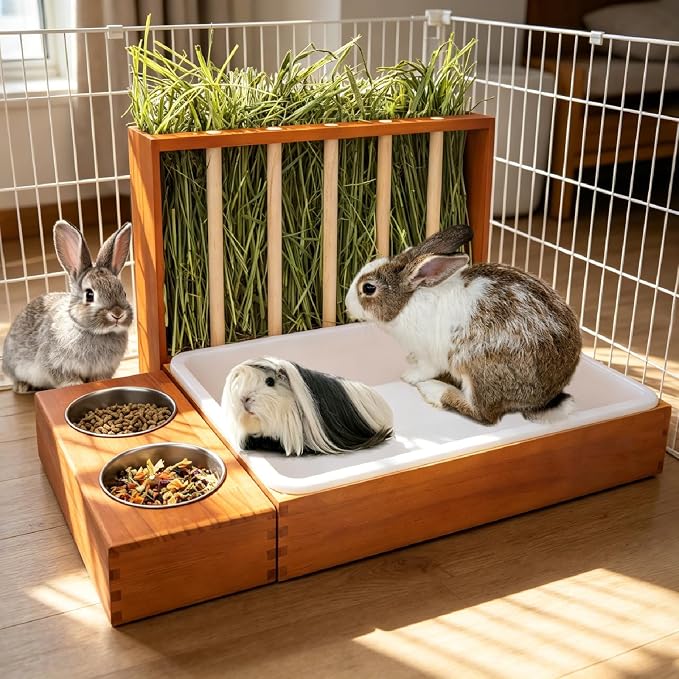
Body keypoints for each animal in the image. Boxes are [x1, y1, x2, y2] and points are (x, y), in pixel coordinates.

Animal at [2, 220, 134, 393]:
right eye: (89, 295)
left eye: (123, 293)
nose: (117, 313)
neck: (93, 331)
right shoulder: (57, 364)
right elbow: (66, 379)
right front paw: (74, 386)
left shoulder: (104, 369)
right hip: (14, 364)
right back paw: (22, 387)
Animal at [345, 225, 582, 425]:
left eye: (368, 288)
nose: (347, 304)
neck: (408, 301)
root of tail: (546, 397)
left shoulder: (430, 355)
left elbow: (424, 369)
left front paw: (409, 376)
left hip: (475, 367)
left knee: (483, 414)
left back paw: (433, 390)